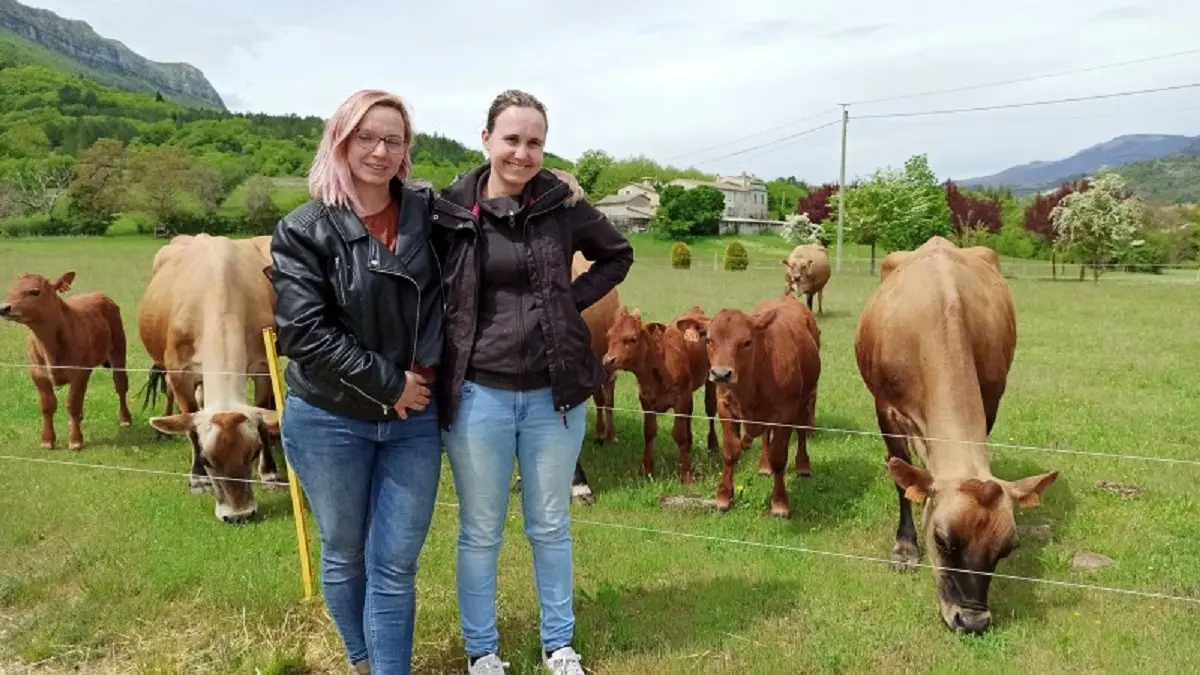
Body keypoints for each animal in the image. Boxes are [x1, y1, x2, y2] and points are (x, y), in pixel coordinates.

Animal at [0, 270, 131, 449]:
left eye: (35, 291)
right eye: (11, 290)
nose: (4, 308)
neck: (49, 345)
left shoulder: (80, 373)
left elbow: (73, 405)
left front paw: (75, 441)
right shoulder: (37, 373)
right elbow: (48, 405)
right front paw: (47, 440)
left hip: (118, 350)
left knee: (120, 385)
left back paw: (125, 419)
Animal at [136, 230, 285, 521]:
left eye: (254, 453)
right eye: (207, 460)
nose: (239, 515)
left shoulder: (263, 365)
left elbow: (263, 415)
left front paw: (270, 473)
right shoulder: (180, 372)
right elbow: (190, 423)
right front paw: (198, 479)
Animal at [604, 302, 715, 480]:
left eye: (633, 338)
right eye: (608, 335)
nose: (608, 360)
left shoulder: (681, 398)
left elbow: (679, 434)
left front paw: (686, 473)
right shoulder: (646, 400)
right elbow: (649, 432)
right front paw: (647, 469)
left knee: (710, 410)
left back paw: (713, 446)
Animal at [700, 293, 820, 514]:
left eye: (747, 342)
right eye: (709, 340)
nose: (721, 374)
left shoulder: (786, 411)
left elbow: (779, 457)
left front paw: (780, 502)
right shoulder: (725, 407)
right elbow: (730, 452)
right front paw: (723, 496)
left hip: (805, 398)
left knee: (801, 431)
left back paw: (803, 465)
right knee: (765, 436)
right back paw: (764, 465)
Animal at [854, 235, 1060, 629]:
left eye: (1008, 548)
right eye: (941, 539)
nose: (973, 621)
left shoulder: (991, 400)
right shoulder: (884, 409)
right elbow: (902, 480)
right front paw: (905, 548)